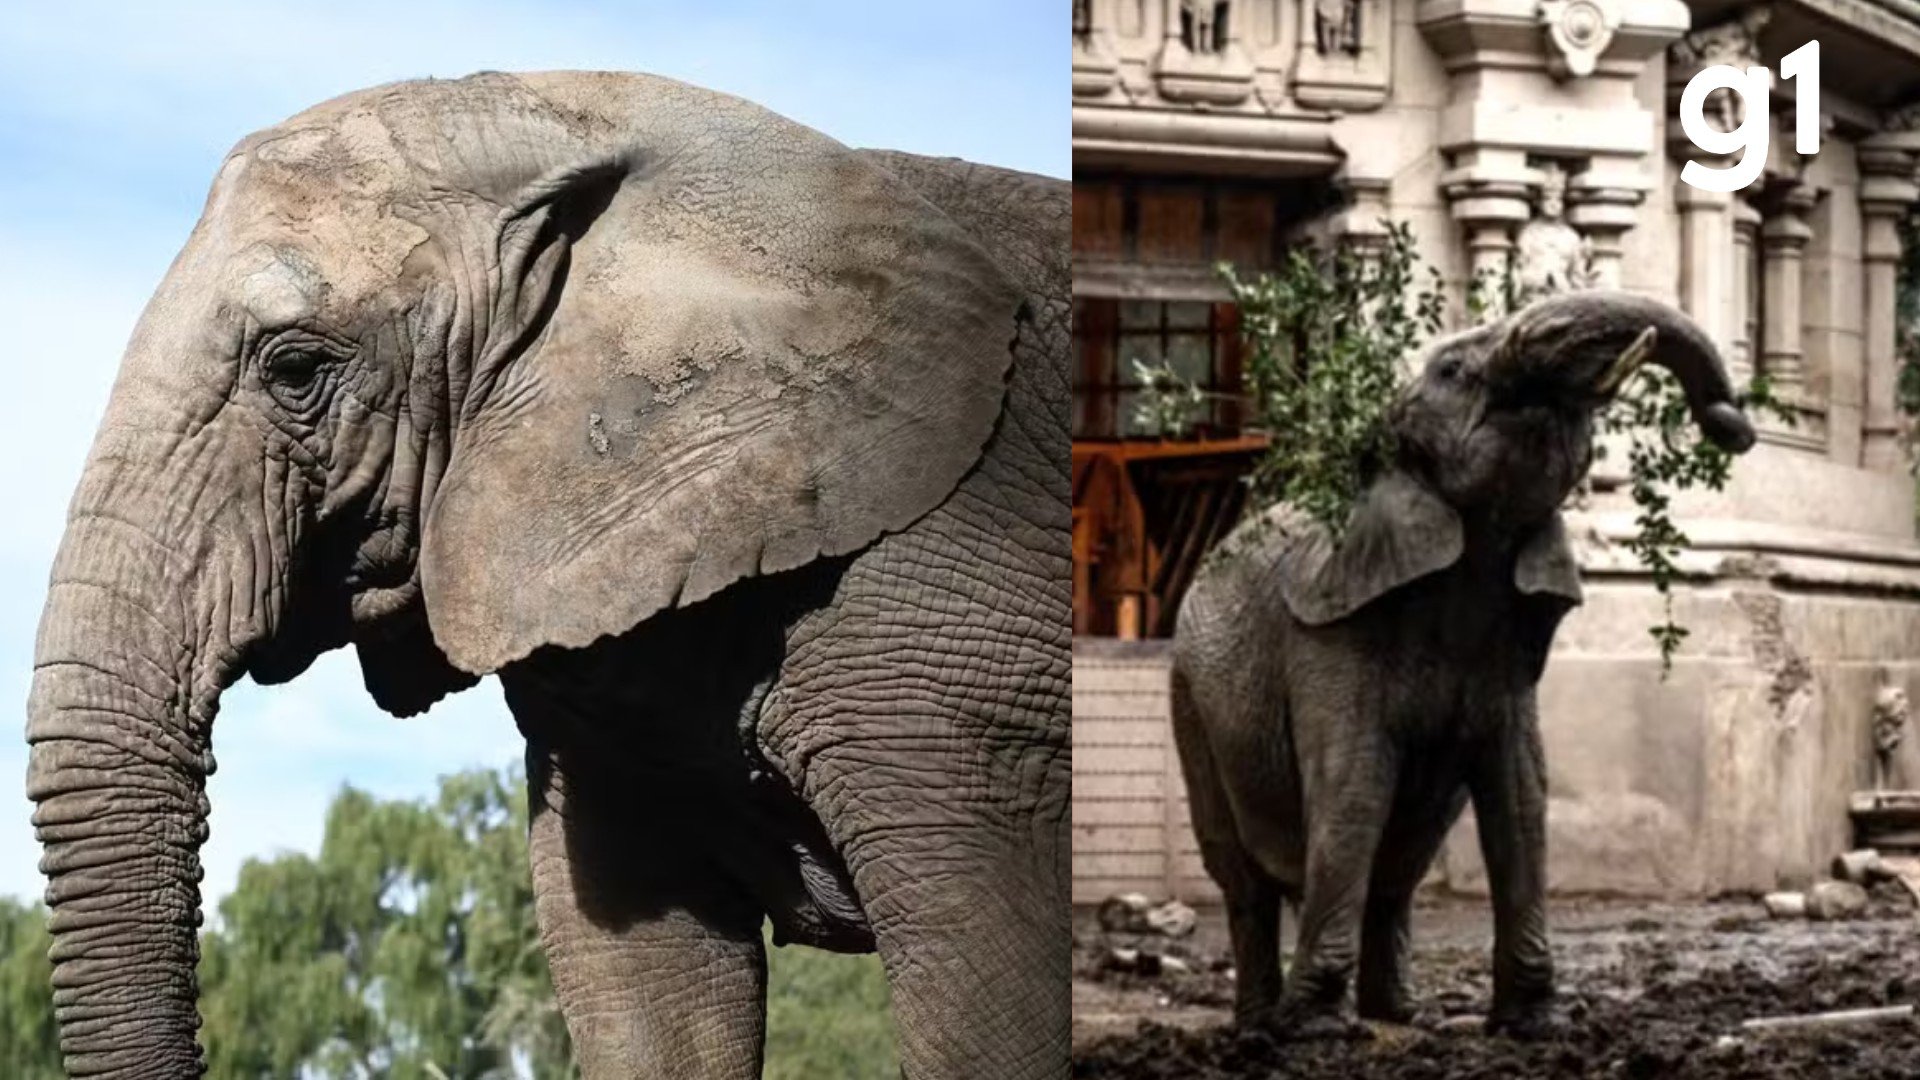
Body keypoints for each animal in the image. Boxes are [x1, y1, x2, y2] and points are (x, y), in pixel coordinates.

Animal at [1170, 292, 1755, 1038]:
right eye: (1452, 370)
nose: (1730, 421)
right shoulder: (1333, 638)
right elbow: (1354, 785)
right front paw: (1315, 1033)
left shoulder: (1508, 652)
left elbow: (1521, 789)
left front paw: (1536, 1026)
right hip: (1187, 694)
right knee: (1243, 878)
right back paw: (1257, 1029)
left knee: (1400, 866)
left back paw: (1400, 1016)